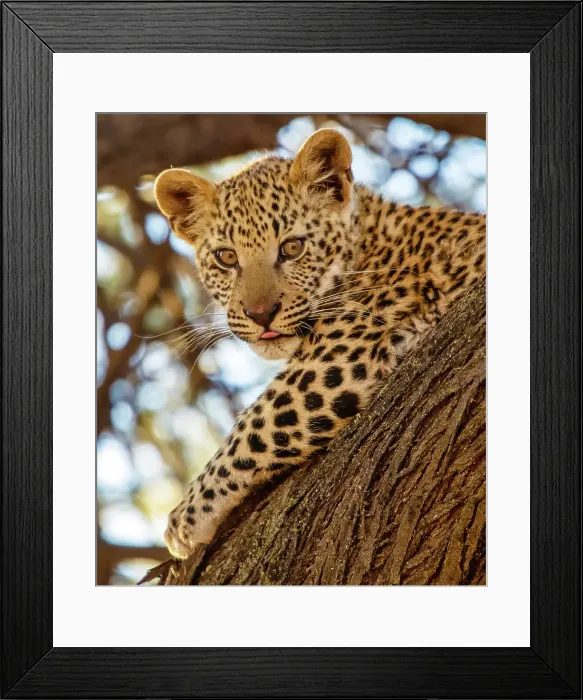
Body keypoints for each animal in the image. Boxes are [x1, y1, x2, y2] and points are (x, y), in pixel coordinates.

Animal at [154, 128, 486, 559]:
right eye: (226, 258)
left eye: (292, 248)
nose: (261, 314)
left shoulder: (339, 358)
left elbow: (256, 421)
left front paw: (188, 515)